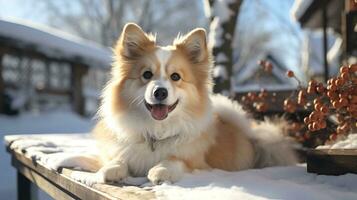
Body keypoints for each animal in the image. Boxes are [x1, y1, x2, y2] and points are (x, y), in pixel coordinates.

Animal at [73, 22, 294, 185]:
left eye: (175, 77)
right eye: (147, 74)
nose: (160, 92)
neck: (157, 132)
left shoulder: (198, 162)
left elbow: (176, 159)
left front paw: (160, 169)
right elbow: (117, 159)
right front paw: (110, 168)